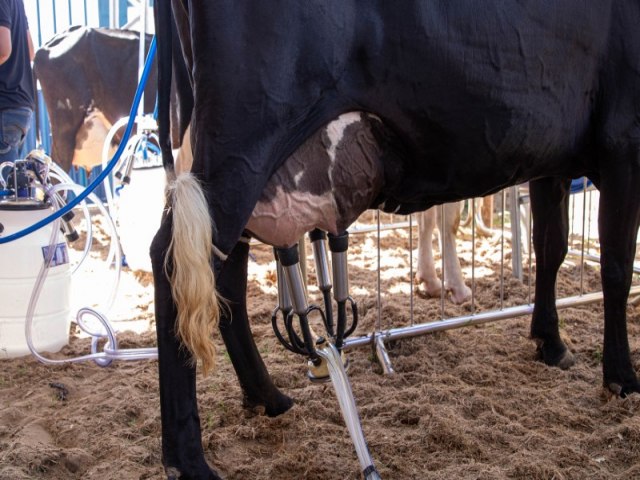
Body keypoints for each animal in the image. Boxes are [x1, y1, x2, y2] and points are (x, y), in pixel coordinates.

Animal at [151, 1, 640, 478]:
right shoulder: (624, 140)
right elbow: (617, 266)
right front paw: (622, 377)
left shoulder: (552, 158)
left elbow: (551, 248)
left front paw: (550, 342)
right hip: (242, 142)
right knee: (171, 261)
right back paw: (188, 460)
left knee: (223, 275)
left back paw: (267, 397)